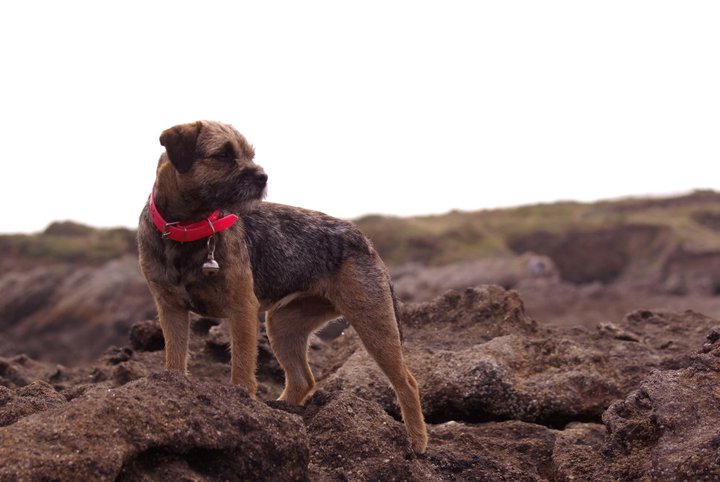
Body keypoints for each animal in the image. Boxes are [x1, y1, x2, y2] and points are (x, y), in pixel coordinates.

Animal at [137, 120, 428, 453]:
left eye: (249, 155)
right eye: (223, 155)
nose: (263, 176)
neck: (189, 229)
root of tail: (363, 238)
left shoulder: (241, 309)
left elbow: (241, 368)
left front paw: (242, 406)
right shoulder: (170, 309)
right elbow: (174, 358)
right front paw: (173, 391)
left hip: (374, 321)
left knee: (407, 382)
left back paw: (417, 441)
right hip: (283, 322)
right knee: (303, 380)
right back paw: (282, 410)